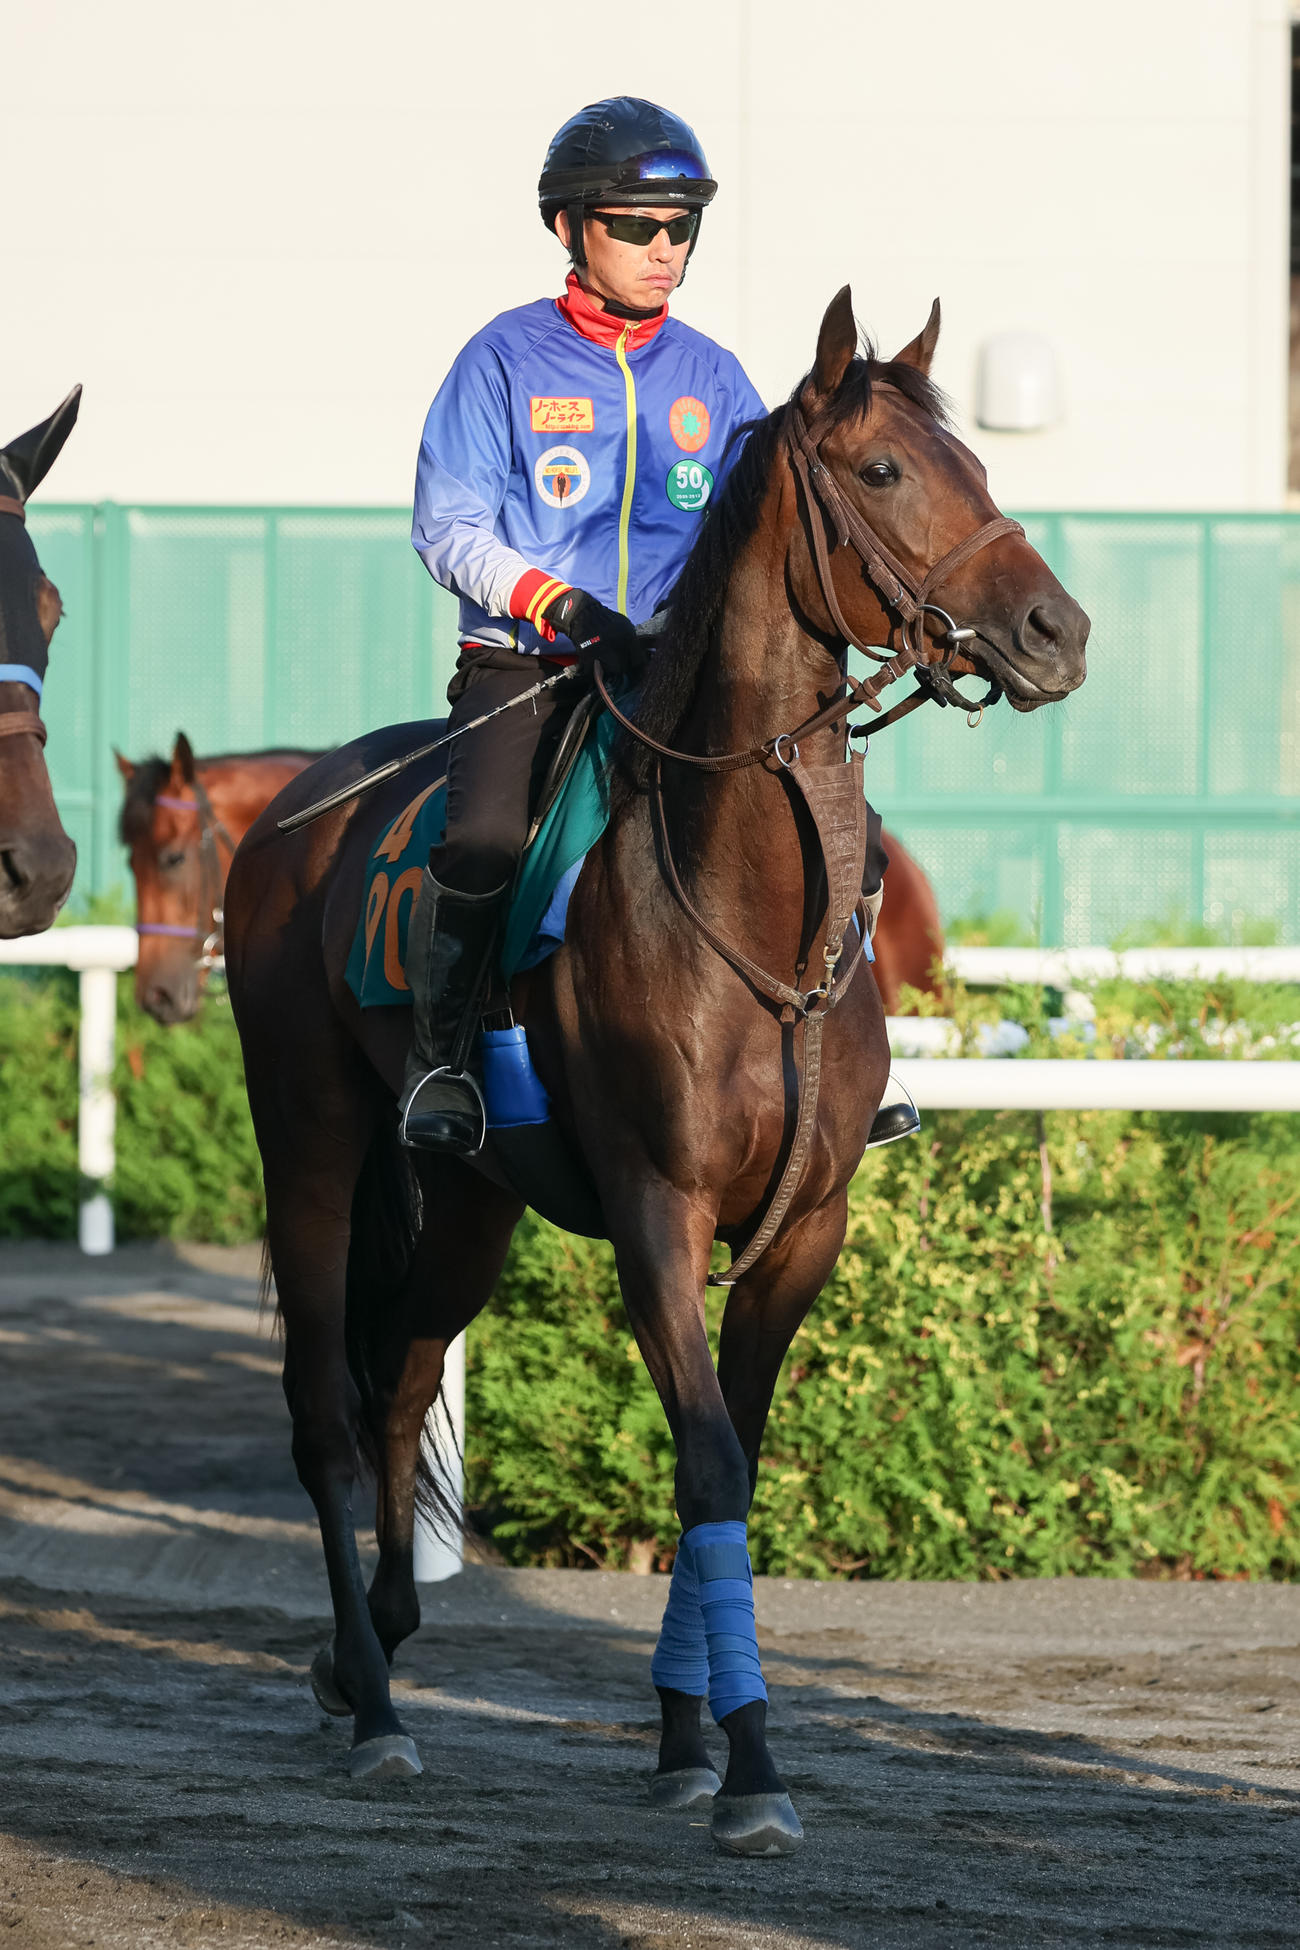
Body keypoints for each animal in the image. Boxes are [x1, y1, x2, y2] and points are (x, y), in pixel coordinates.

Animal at [223, 288, 1088, 1855]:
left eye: (980, 464)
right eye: (883, 471)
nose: (1059, 630)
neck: (747, 900)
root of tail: (290, 815)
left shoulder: (806, 1228)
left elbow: (729, 1452)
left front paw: (688, 1734)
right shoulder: (654, 1210)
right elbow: (707, 1458)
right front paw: (747, 1763)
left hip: (474, 1198)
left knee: (402, 1379)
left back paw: (369, 1643)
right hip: (309, 1145)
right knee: (325, 1410)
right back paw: (373, 1703)